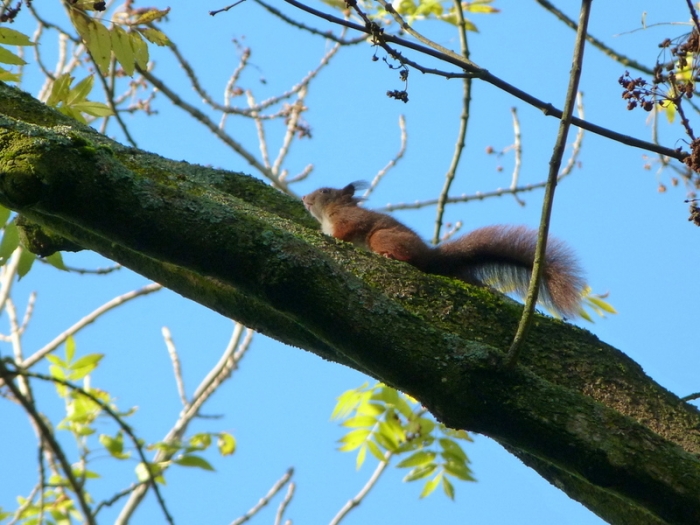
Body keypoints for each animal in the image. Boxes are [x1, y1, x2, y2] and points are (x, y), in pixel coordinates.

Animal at [302, 182, 585, 318]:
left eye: (325, 191)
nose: (304, 198)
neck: (328, 215)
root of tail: (430, 256)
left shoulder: (349, 219)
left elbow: (346, 231)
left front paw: (332, 237)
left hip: (383, 237)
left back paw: (389, 255)